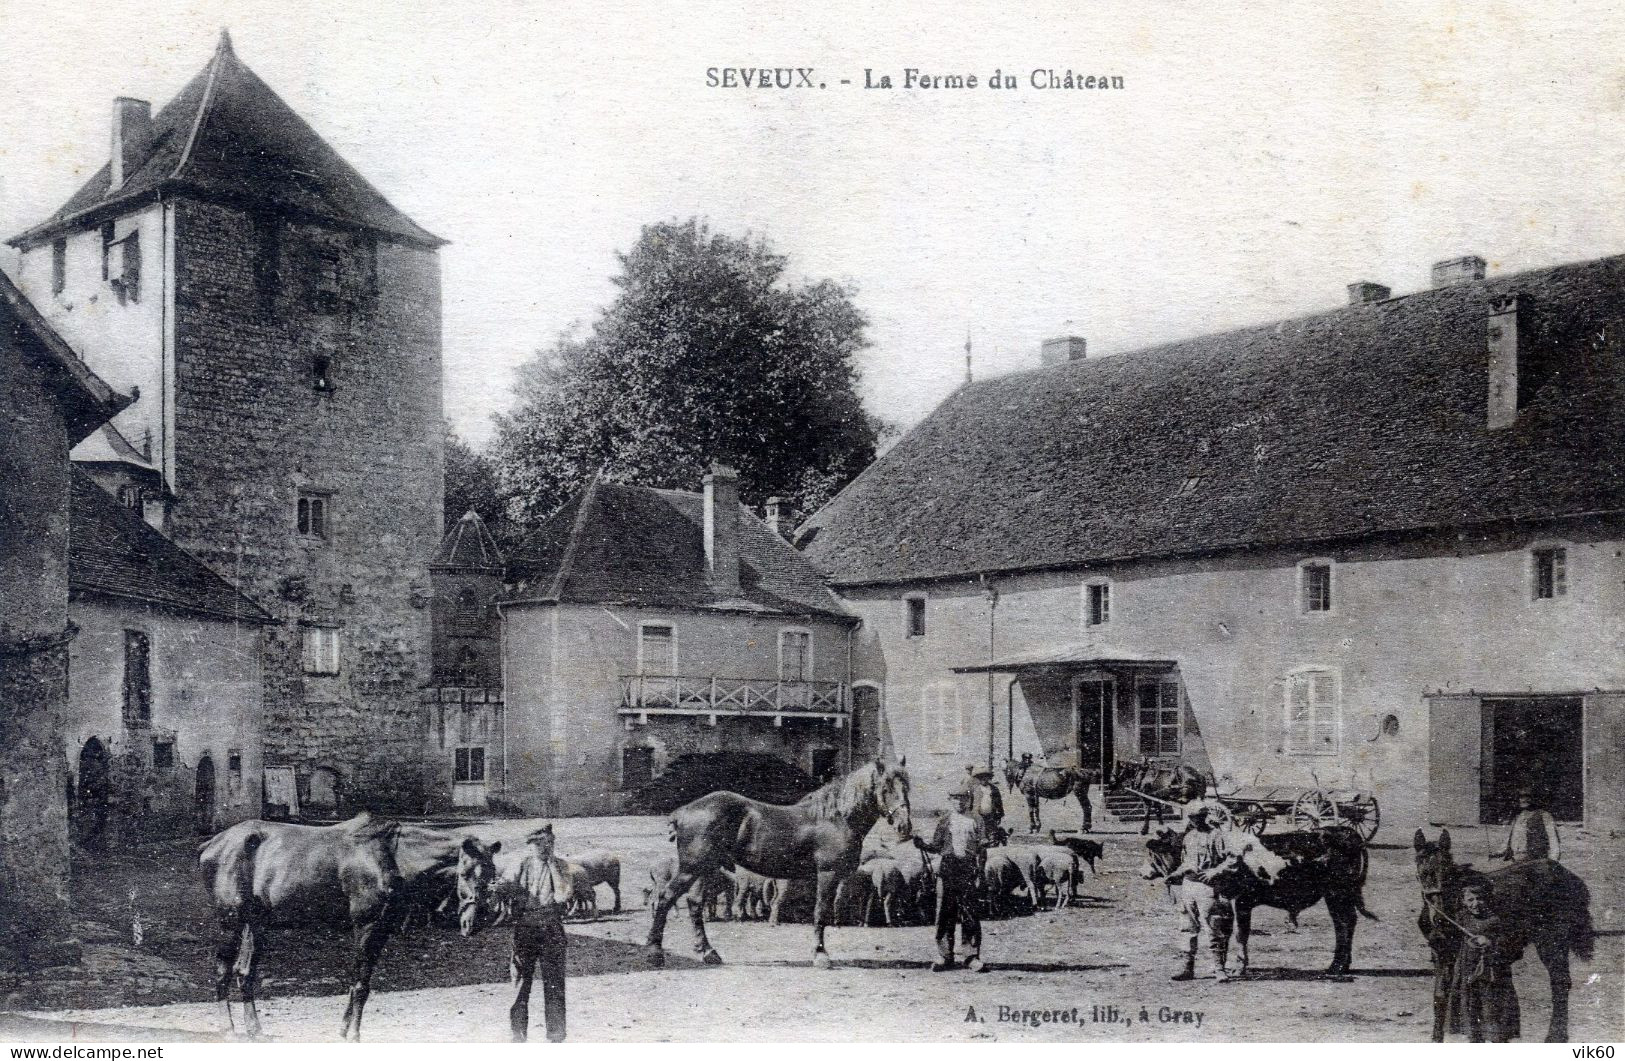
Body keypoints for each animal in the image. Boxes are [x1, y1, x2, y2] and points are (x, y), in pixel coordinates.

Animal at [198, 812, 500, 1033]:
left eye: (492, 872)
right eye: (466, 872)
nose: (476, 922)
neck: (390, 856)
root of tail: (211, 845)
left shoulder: (381, 930)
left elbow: (361, 982)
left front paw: (345, 1029)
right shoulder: (366, 926)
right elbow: (360, 984)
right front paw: (352, 1033)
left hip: (255, 923)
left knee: (244, 972)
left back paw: (255, 1030)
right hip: (230, 922)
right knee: (222, 970)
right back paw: (228, 1029)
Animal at [643, 753, 916, 968]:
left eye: (906, 787)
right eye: (885, 788)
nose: (904, 827)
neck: (835, 818)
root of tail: (684, 811)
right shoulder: (826, 874)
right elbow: (821, 912)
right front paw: (820, 956)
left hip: (706, 868)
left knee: (694, 903)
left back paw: (708, 953)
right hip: (691, 868)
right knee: (666, 897)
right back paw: (655, 952)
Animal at [1417, 822, 1592, 1039]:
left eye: (1448, 871)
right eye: (1422, 872)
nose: (1438, 918)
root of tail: (1566, 875)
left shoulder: (1453, 950)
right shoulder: (1440, 951)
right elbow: (1440, 995)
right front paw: (1437, 1037)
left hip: (1552, 940)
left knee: (1560, 981)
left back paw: (1555, 1036)